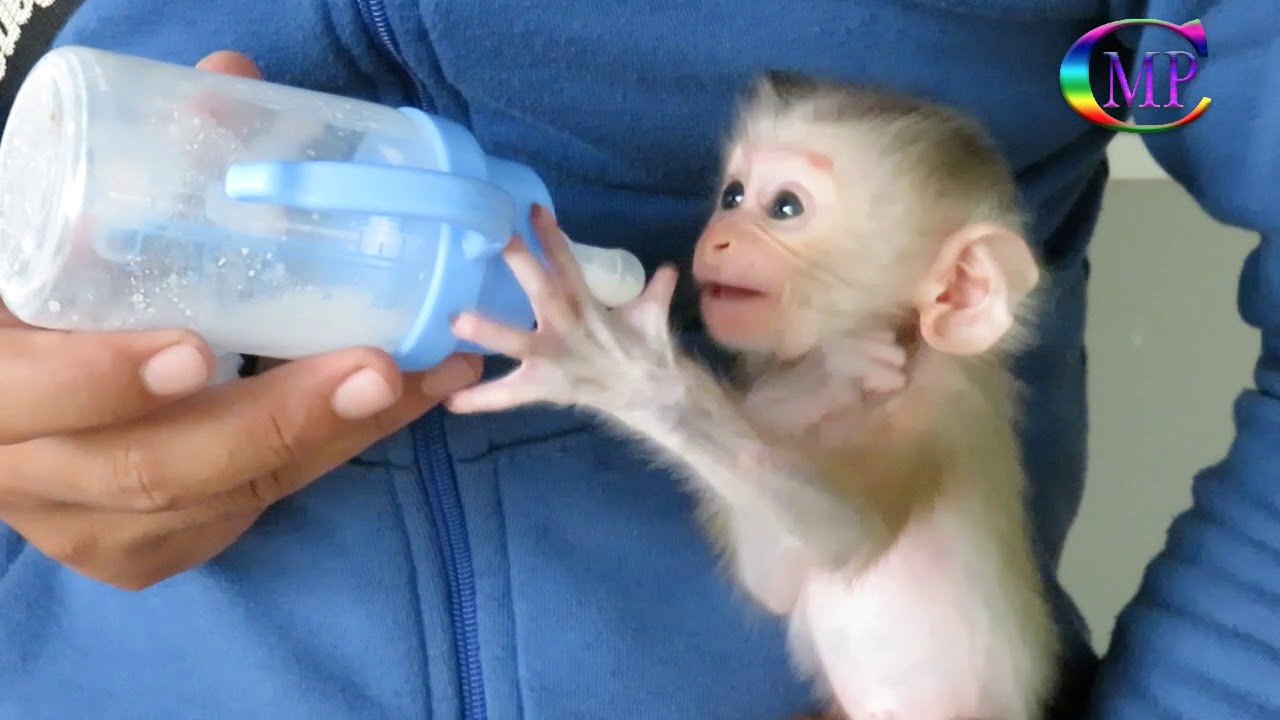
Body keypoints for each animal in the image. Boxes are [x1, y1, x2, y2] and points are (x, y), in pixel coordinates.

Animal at [445, 71, 1059, 720]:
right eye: (734, 196)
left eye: (785, 207)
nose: (718, 238)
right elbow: (777, 578)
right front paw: (822, 373)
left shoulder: (938, 403)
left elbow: (845, 534)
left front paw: (623, 369)